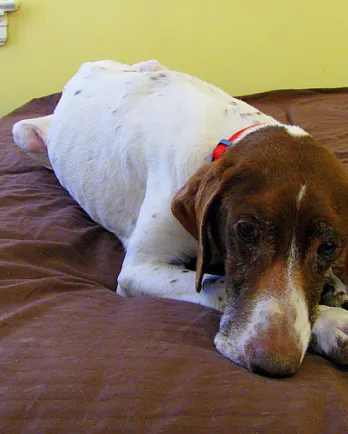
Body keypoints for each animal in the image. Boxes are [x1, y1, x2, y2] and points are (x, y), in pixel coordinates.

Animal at [12, 60, 346, 376]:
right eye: (247, 229)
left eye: (329, 246)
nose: (274, 365)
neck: (224, 142)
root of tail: (89, 66)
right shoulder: (139, 270)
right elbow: (216, 283)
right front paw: (331, 322)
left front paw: (330, 290)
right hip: (22, 134)